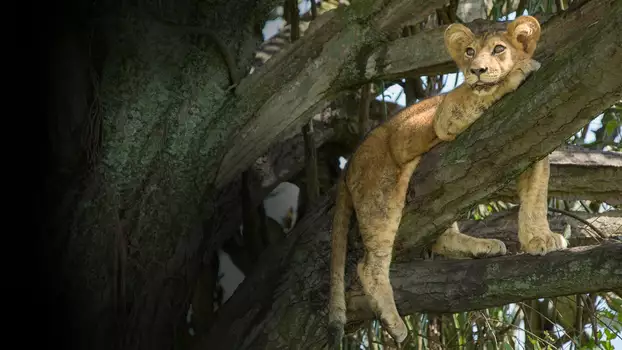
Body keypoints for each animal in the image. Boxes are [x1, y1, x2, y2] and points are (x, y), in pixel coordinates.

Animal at [330, 15, 568, 346]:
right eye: (469, 52)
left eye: (498, 49)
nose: (476, 70)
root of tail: (351, 161)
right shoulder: (447, 114)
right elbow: (482, 93)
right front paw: (520, 71)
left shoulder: (533, 144)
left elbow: (535, 195)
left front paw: (539, 239)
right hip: (381, 191)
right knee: (370, 263)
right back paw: (393, 322)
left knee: (443, 235)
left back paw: (482, 246)